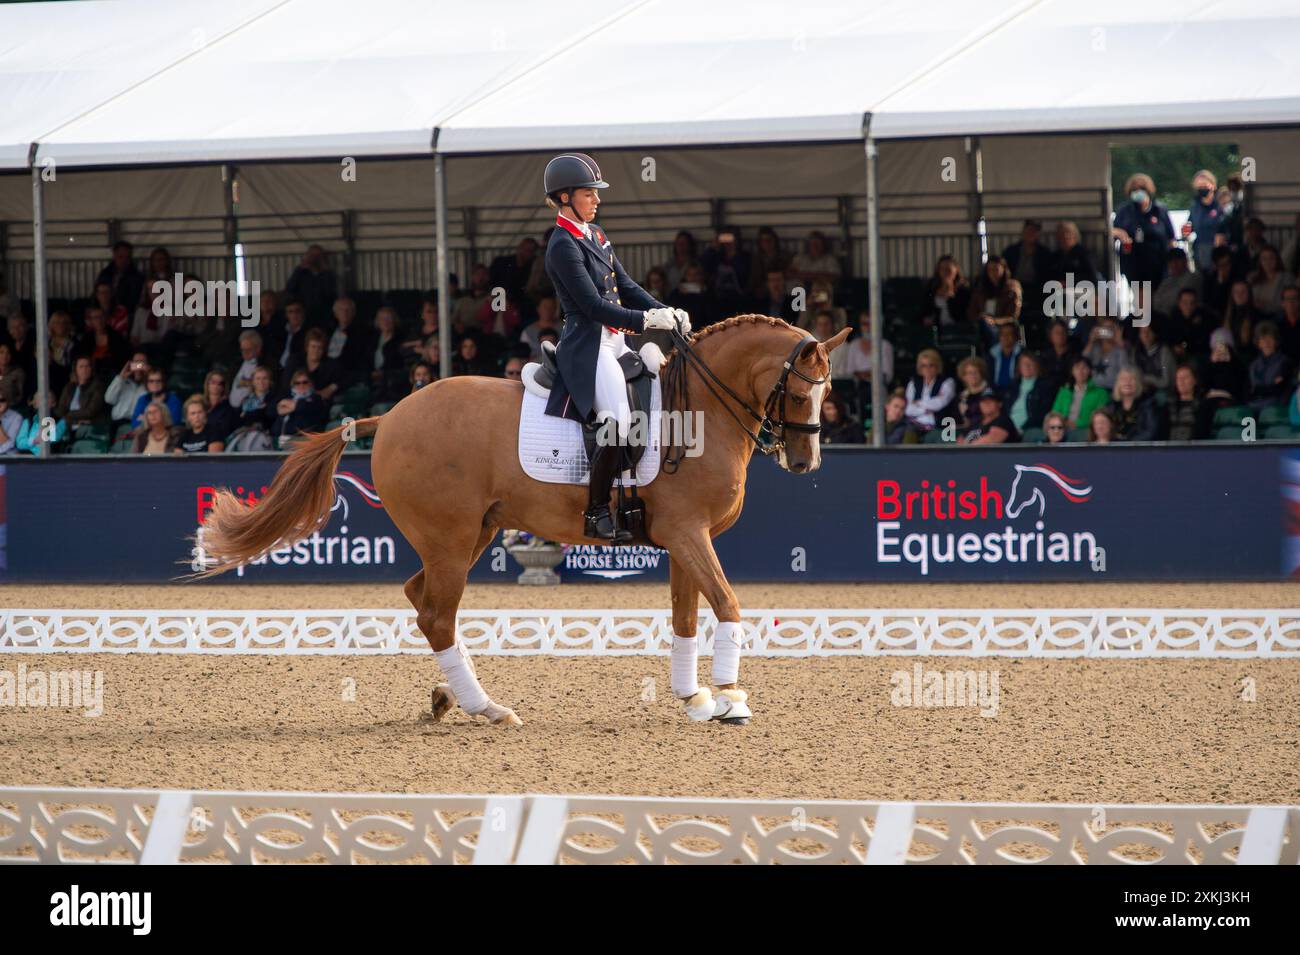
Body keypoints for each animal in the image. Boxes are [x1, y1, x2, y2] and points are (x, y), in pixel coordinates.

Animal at [197, 314, 847, 722]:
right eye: (798, 393)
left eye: (829, 391)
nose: (806, 462)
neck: (698, 411)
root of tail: (393, 414)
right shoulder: (688, 534)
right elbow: (729, 605)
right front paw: (732, 699)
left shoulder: (685, 539)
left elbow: (686, 617)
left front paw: (694, 699)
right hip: (451, 538)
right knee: (436, 614)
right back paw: (483, 706)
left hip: (471, 535)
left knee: (421, 599)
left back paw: (447, 697)